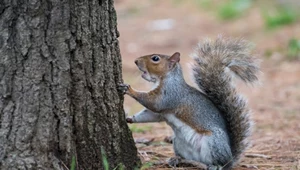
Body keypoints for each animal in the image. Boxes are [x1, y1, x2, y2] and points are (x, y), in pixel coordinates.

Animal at [118, 36, 258, 169]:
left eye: (155, 58)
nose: (136, 61)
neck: (166, 79)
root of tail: (230, 157)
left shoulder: (170, 95)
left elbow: (153, 103)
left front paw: (129, 89)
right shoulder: (161, 112)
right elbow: (151, 115)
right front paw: (130, 118)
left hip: (213, 142)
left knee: (220, 163)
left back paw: (215, 166)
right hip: (178, 143)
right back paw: (177, 159)